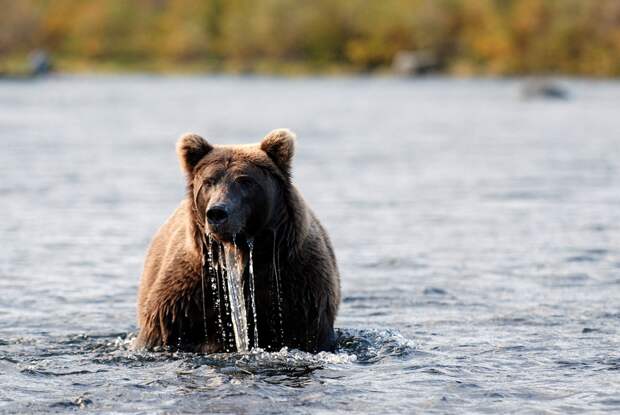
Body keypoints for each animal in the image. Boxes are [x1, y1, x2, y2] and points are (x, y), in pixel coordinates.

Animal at [136, 128, 342, 352]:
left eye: (245, 181)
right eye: (209, 182)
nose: (217, 213)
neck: (242, 252)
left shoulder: (298, 291)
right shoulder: (185, 302)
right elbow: (162, 330)